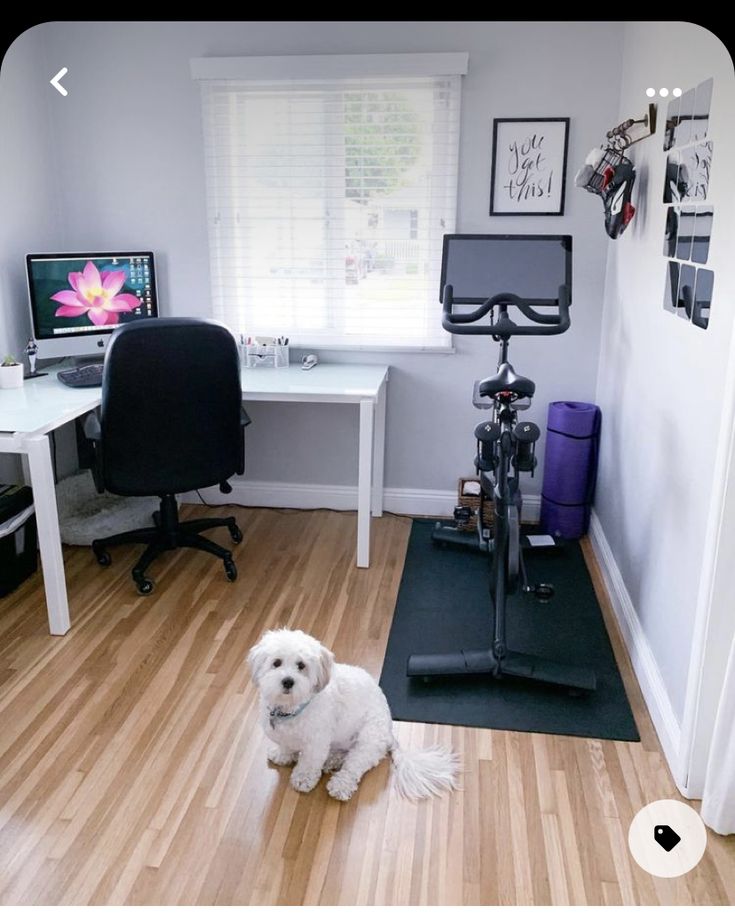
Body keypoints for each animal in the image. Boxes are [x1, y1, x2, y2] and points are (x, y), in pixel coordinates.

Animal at [252, 628, 460, 800]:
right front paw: (283, 755)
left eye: (301, 665)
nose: (288, 681)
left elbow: (309, 763)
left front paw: (303, 779)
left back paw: (340, 785)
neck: (290, 709)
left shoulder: (315, 743)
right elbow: (285, 746)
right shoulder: (283, 735)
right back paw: (332, 760)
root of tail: (390, 733)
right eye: (276, 663)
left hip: (367, 742)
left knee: (353, 766)